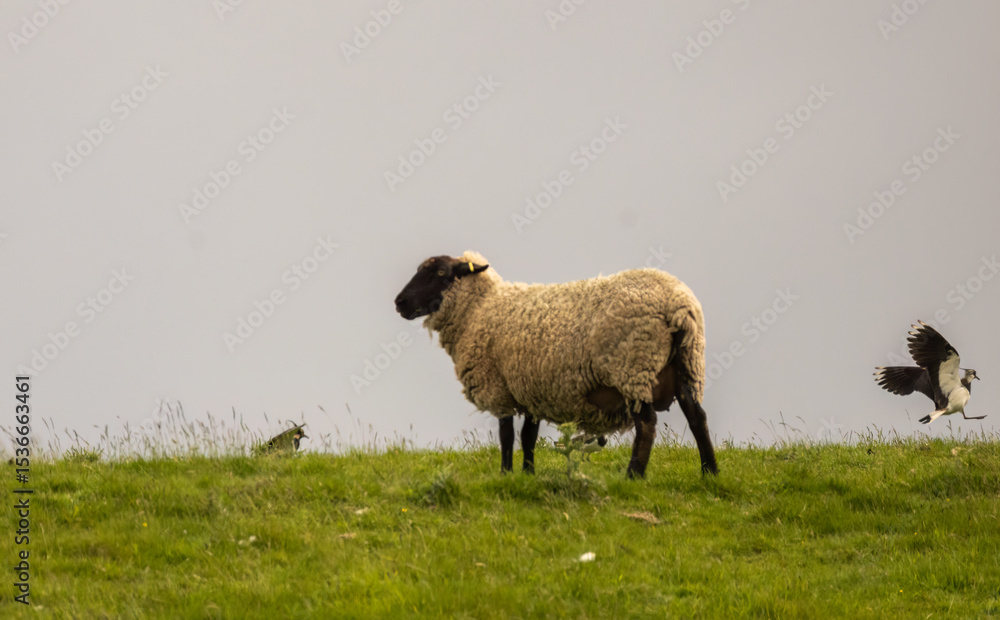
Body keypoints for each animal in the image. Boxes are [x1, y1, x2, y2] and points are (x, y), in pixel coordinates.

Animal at [393, 251, 718, 479]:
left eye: (440, 272)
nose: (400, 303)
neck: (479, 309)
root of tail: (677, 303)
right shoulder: (531, 388)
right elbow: (528, 436)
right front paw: (528, 474)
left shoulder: (498, 386)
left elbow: (506, 435)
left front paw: (505, 474)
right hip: (687, 365)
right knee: (697, 417)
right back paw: (710, 472)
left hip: (633, 366)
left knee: (647, 424)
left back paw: (633, 476)